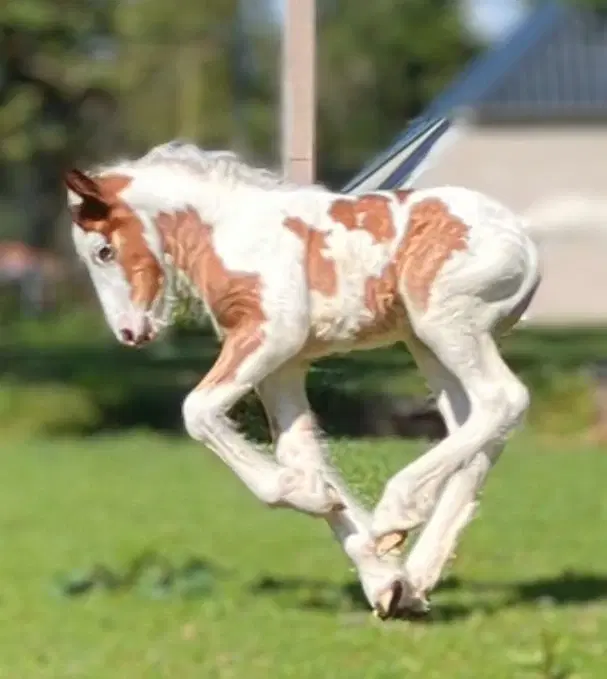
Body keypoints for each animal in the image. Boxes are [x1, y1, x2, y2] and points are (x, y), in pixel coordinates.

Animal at [65, 141, 540, 620]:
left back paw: (395, 513)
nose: (129, 333)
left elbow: (197, 412)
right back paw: (418, 576)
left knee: (503, 400)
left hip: (448, 324)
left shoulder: (272, 335)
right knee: (476, 432)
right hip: (427, 344)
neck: (228, 229)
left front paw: (317, 500)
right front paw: (383, 578)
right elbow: (305, 456)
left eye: (104, 251)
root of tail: (526, 243)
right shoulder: (283, 367)